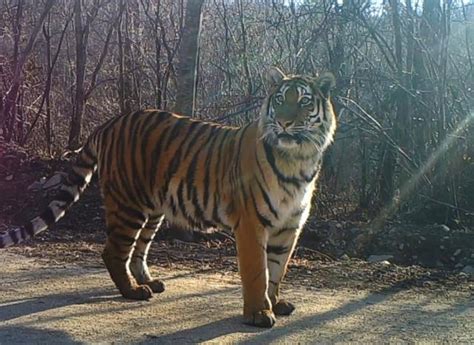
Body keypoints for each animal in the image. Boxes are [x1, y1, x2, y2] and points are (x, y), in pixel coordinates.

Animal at [0, 68, 336, 328]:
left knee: (138, 251)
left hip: (152, 210)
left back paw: (149, 282)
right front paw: (258, 313)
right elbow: (258, 272)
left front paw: (276, 302)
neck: (298, 160)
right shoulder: (252, 224)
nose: (284, 122)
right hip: (128, 205)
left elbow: (278, 269)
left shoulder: (289, 227)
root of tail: (109, 123)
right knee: (113, 251)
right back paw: (133, 291)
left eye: (304, 101)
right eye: (279, 100)